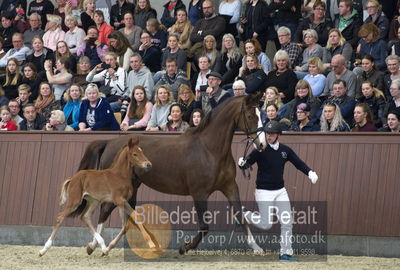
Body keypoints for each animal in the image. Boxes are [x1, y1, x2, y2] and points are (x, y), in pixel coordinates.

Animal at [78, 93, 268, 255]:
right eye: (251, 116)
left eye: (262, 115)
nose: (263, 145)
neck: (209, 149)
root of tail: (110, 142)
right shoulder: (199, 192)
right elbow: (204, 226)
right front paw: (185, 247)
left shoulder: (229, 186)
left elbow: (241, 216)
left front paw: (257, 248)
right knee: (105, 211)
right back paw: (96, 246)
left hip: (133, 186)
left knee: (126, 214)